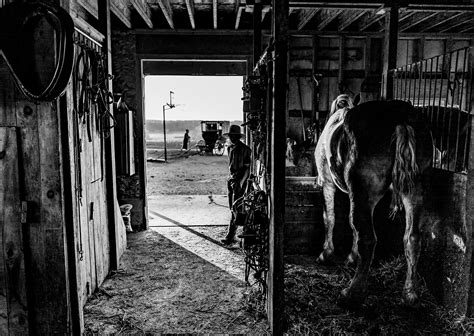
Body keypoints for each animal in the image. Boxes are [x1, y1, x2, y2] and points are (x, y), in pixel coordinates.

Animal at [314, 97, 434, 308]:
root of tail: (400, 120)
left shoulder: (327, 183)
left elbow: (330, 218)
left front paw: (326, 254)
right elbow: (351, 225)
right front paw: (351, 257)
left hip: (363, 192)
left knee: (368, 239)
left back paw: (351, 295)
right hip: (415, 192)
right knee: (412, 237)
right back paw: (410, 295)